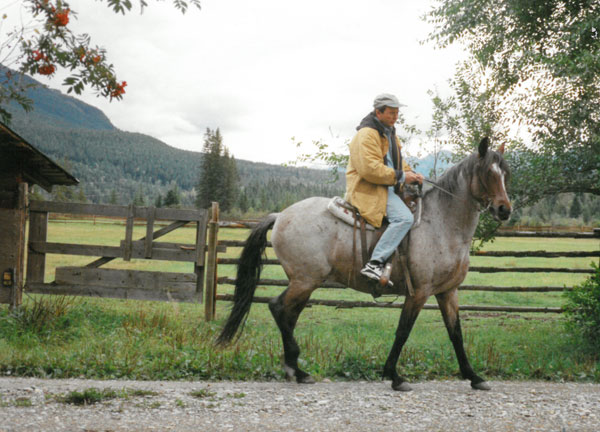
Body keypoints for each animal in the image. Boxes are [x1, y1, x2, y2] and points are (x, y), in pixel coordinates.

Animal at [216, 138, 510, 392]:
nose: (504, 210)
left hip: (304, 283)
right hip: (305, 281)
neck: (441, 224)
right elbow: (403, 331)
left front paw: (474, 377)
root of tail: (280, 216)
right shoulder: (419, 292)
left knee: (287, 314)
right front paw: (394, 376)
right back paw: (297, 370)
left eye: (505, 173)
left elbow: (456, 333)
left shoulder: (448, 292)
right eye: (487, 172)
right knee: (278, 309)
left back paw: (295, 369)